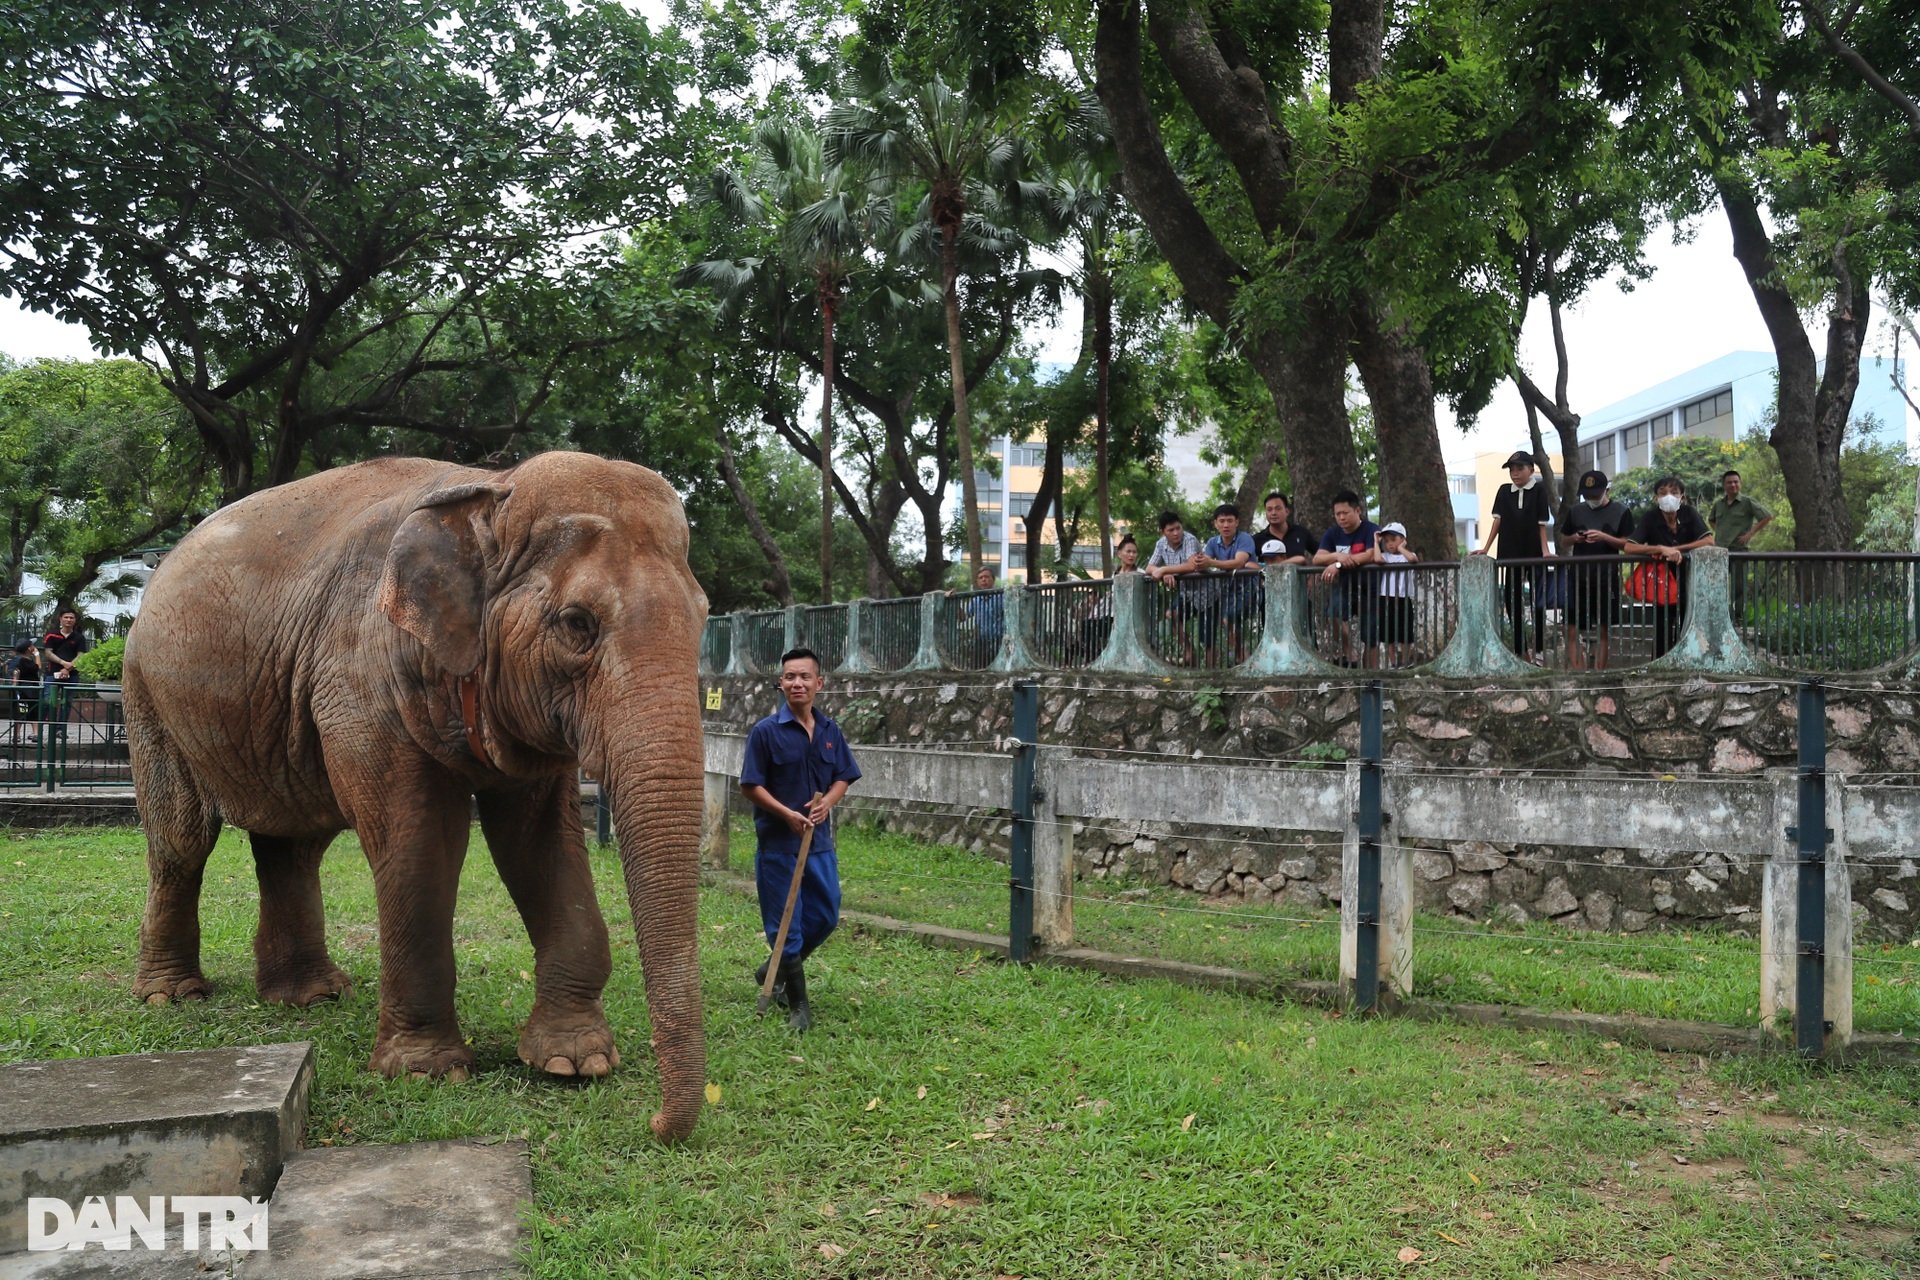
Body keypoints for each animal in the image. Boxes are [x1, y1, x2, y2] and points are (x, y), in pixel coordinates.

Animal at [125, 450, 714, 1143]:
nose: (655, 1123)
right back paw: (171, 995)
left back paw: (312, 996)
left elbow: (537, 845)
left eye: (704, 620)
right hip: (149, 695)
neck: (492, 489)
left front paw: (575, 1063)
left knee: (293, 844)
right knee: (182, 840)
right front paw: (428, 1073)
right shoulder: (359, 677)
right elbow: (419, 840)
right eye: (577, 624)